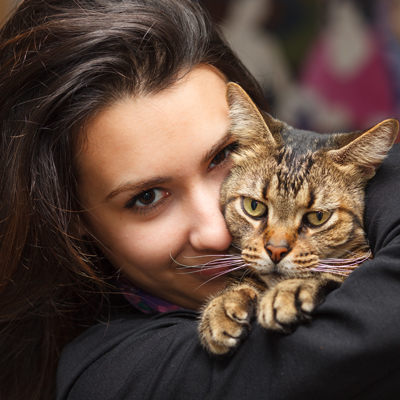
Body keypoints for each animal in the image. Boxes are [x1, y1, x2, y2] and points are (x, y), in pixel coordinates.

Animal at [198, 81, 398, 354]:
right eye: (254, 206)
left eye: (317, 217)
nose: (276, 251)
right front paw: (226, 302)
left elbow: (335, 274)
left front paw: (291, 291)